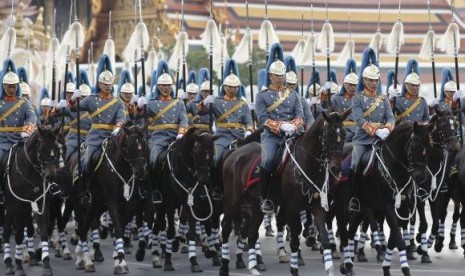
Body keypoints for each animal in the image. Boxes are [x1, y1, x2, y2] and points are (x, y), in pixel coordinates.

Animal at [1, 126, 61, 276]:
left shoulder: (41, 203)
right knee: (6, 231)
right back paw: (9, 262)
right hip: (8, 206)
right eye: (41, 149)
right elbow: (18, 236)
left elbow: (44, 232)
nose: (51, 176)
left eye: (57, 149)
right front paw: (19, 266)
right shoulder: (17, 205)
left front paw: (46, 264)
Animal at [74, 123, 148, 274]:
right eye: (130, 146)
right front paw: (121, 262)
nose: (141, 172)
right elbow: (118, 229)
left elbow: (122, 227)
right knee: (83, 227)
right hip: (81, 204)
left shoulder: (128, 204)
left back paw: (84, 257)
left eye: (144, 145)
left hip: (96, 205)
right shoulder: (112, 202)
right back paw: (85, 260)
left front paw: (117, 257)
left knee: (85, 225)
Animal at [338, 122, 434, 276]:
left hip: (363, 208)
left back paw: (348, 265)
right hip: (344, 206)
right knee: (344, 231)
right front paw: (405, 269)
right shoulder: (388, 206)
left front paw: (386, 268)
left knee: (351, 231)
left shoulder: (402, 207)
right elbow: (399, 240)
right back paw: (348, 262)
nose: (421, 177)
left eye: (430, 147)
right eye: (415, 147)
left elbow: (393, 239)